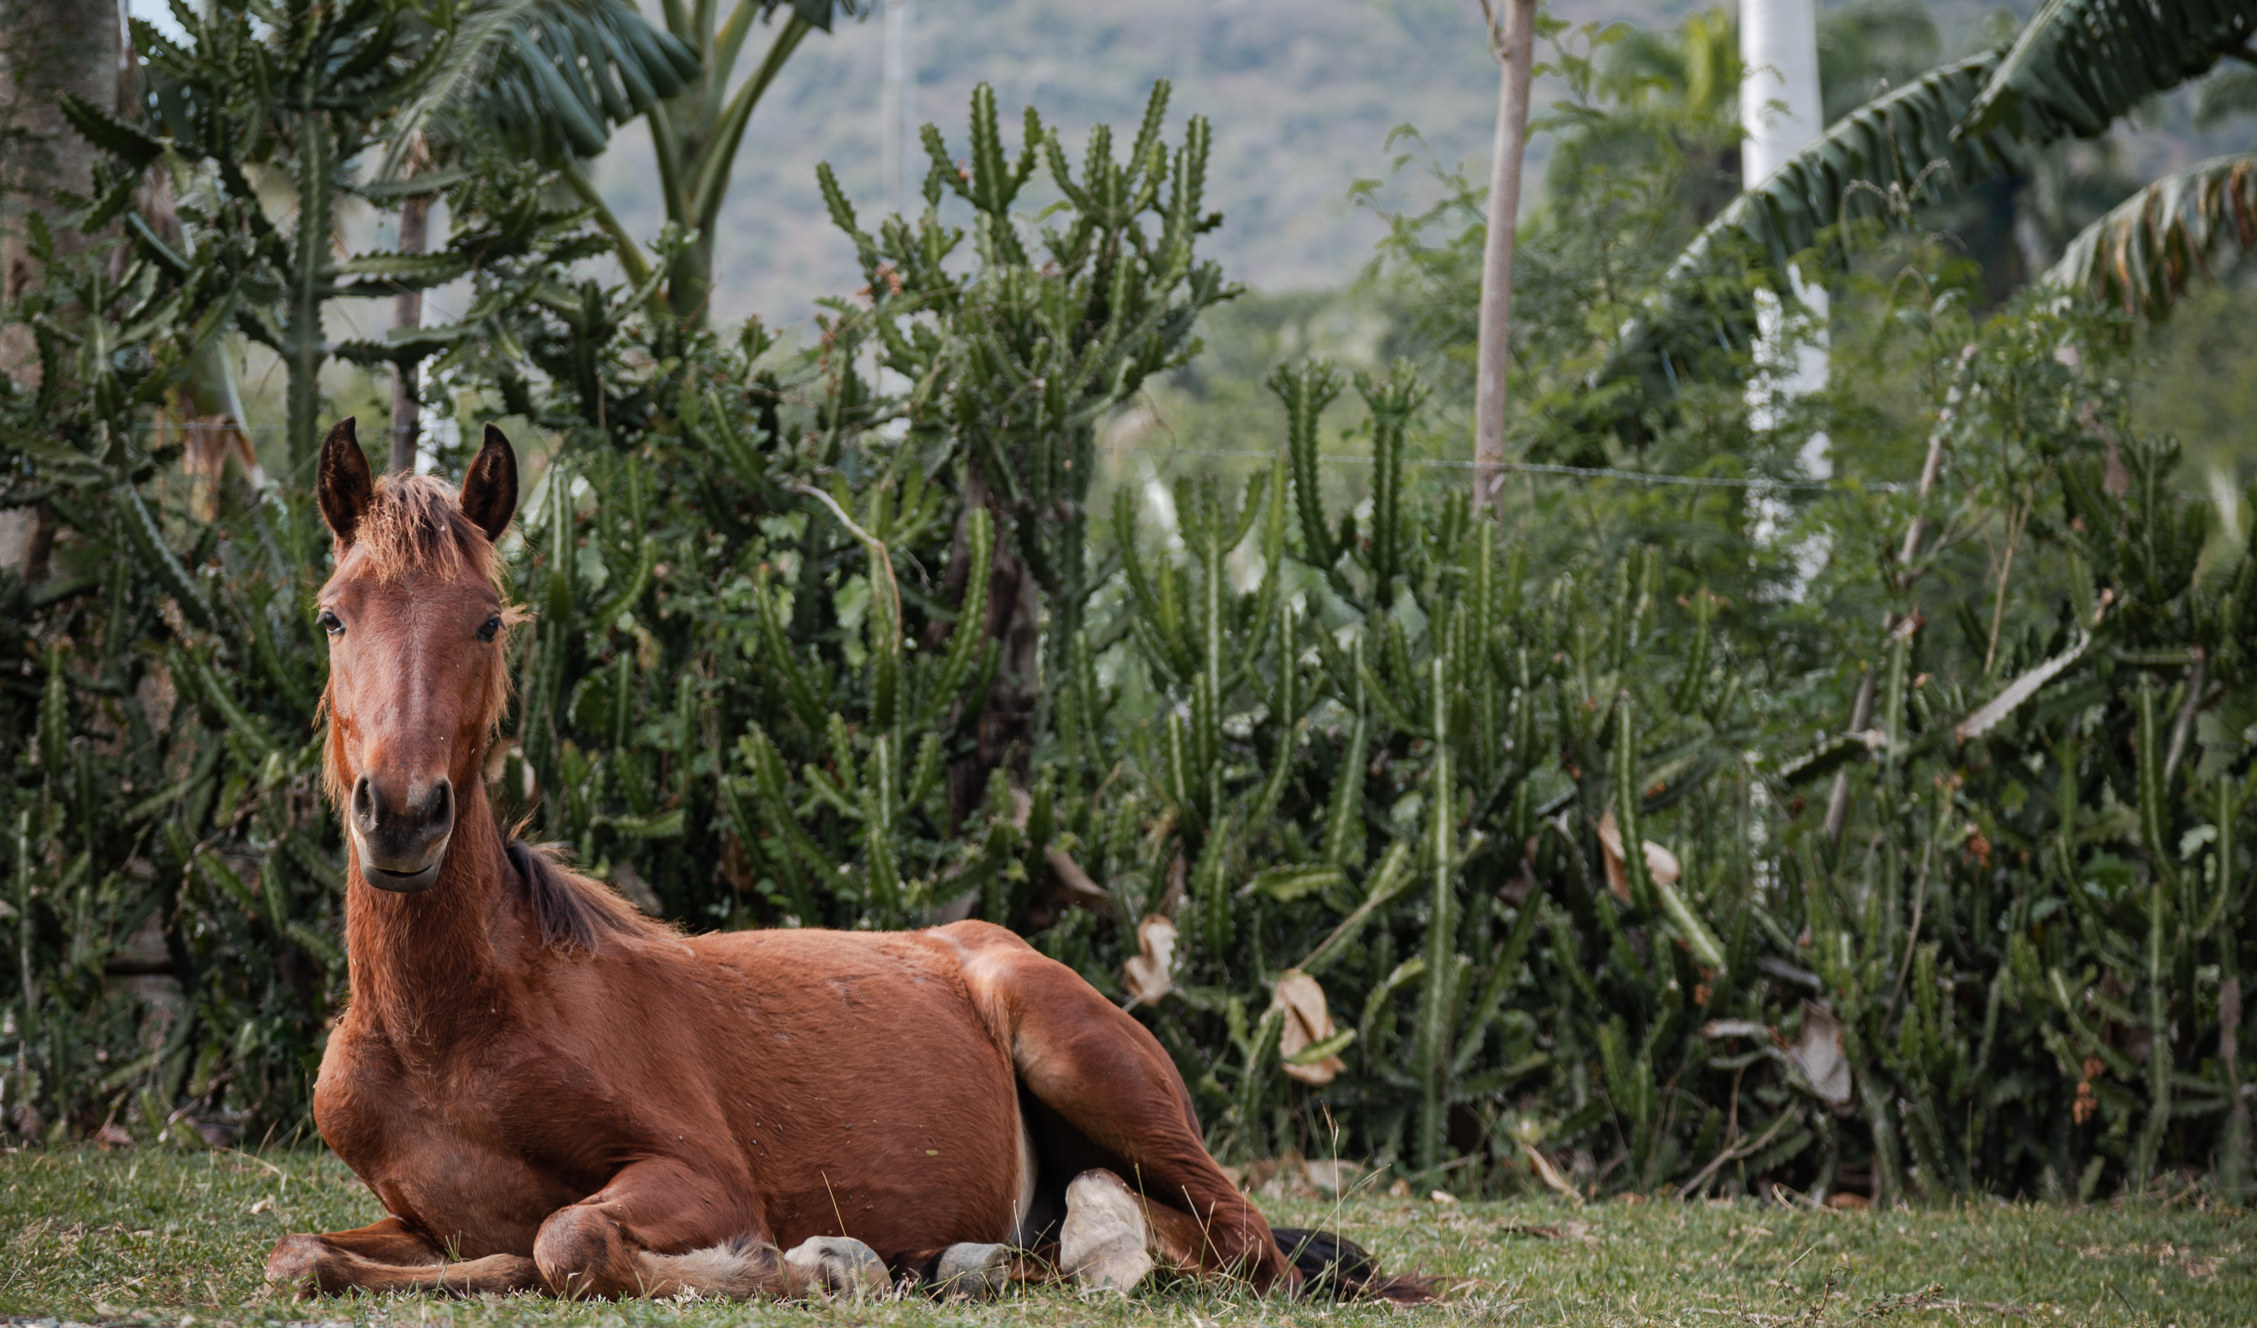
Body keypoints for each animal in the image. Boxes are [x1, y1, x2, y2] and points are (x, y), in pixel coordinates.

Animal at [264, 422, 1417, 1309]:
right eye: (331, 615)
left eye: (487, 621)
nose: (402, 816)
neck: (454, 1031)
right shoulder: (414, 1218)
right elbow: (305, 1256)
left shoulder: (702, 1176)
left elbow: (565, 1240)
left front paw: (818, 1263)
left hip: (1088, 1064)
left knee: (1246, 1249)